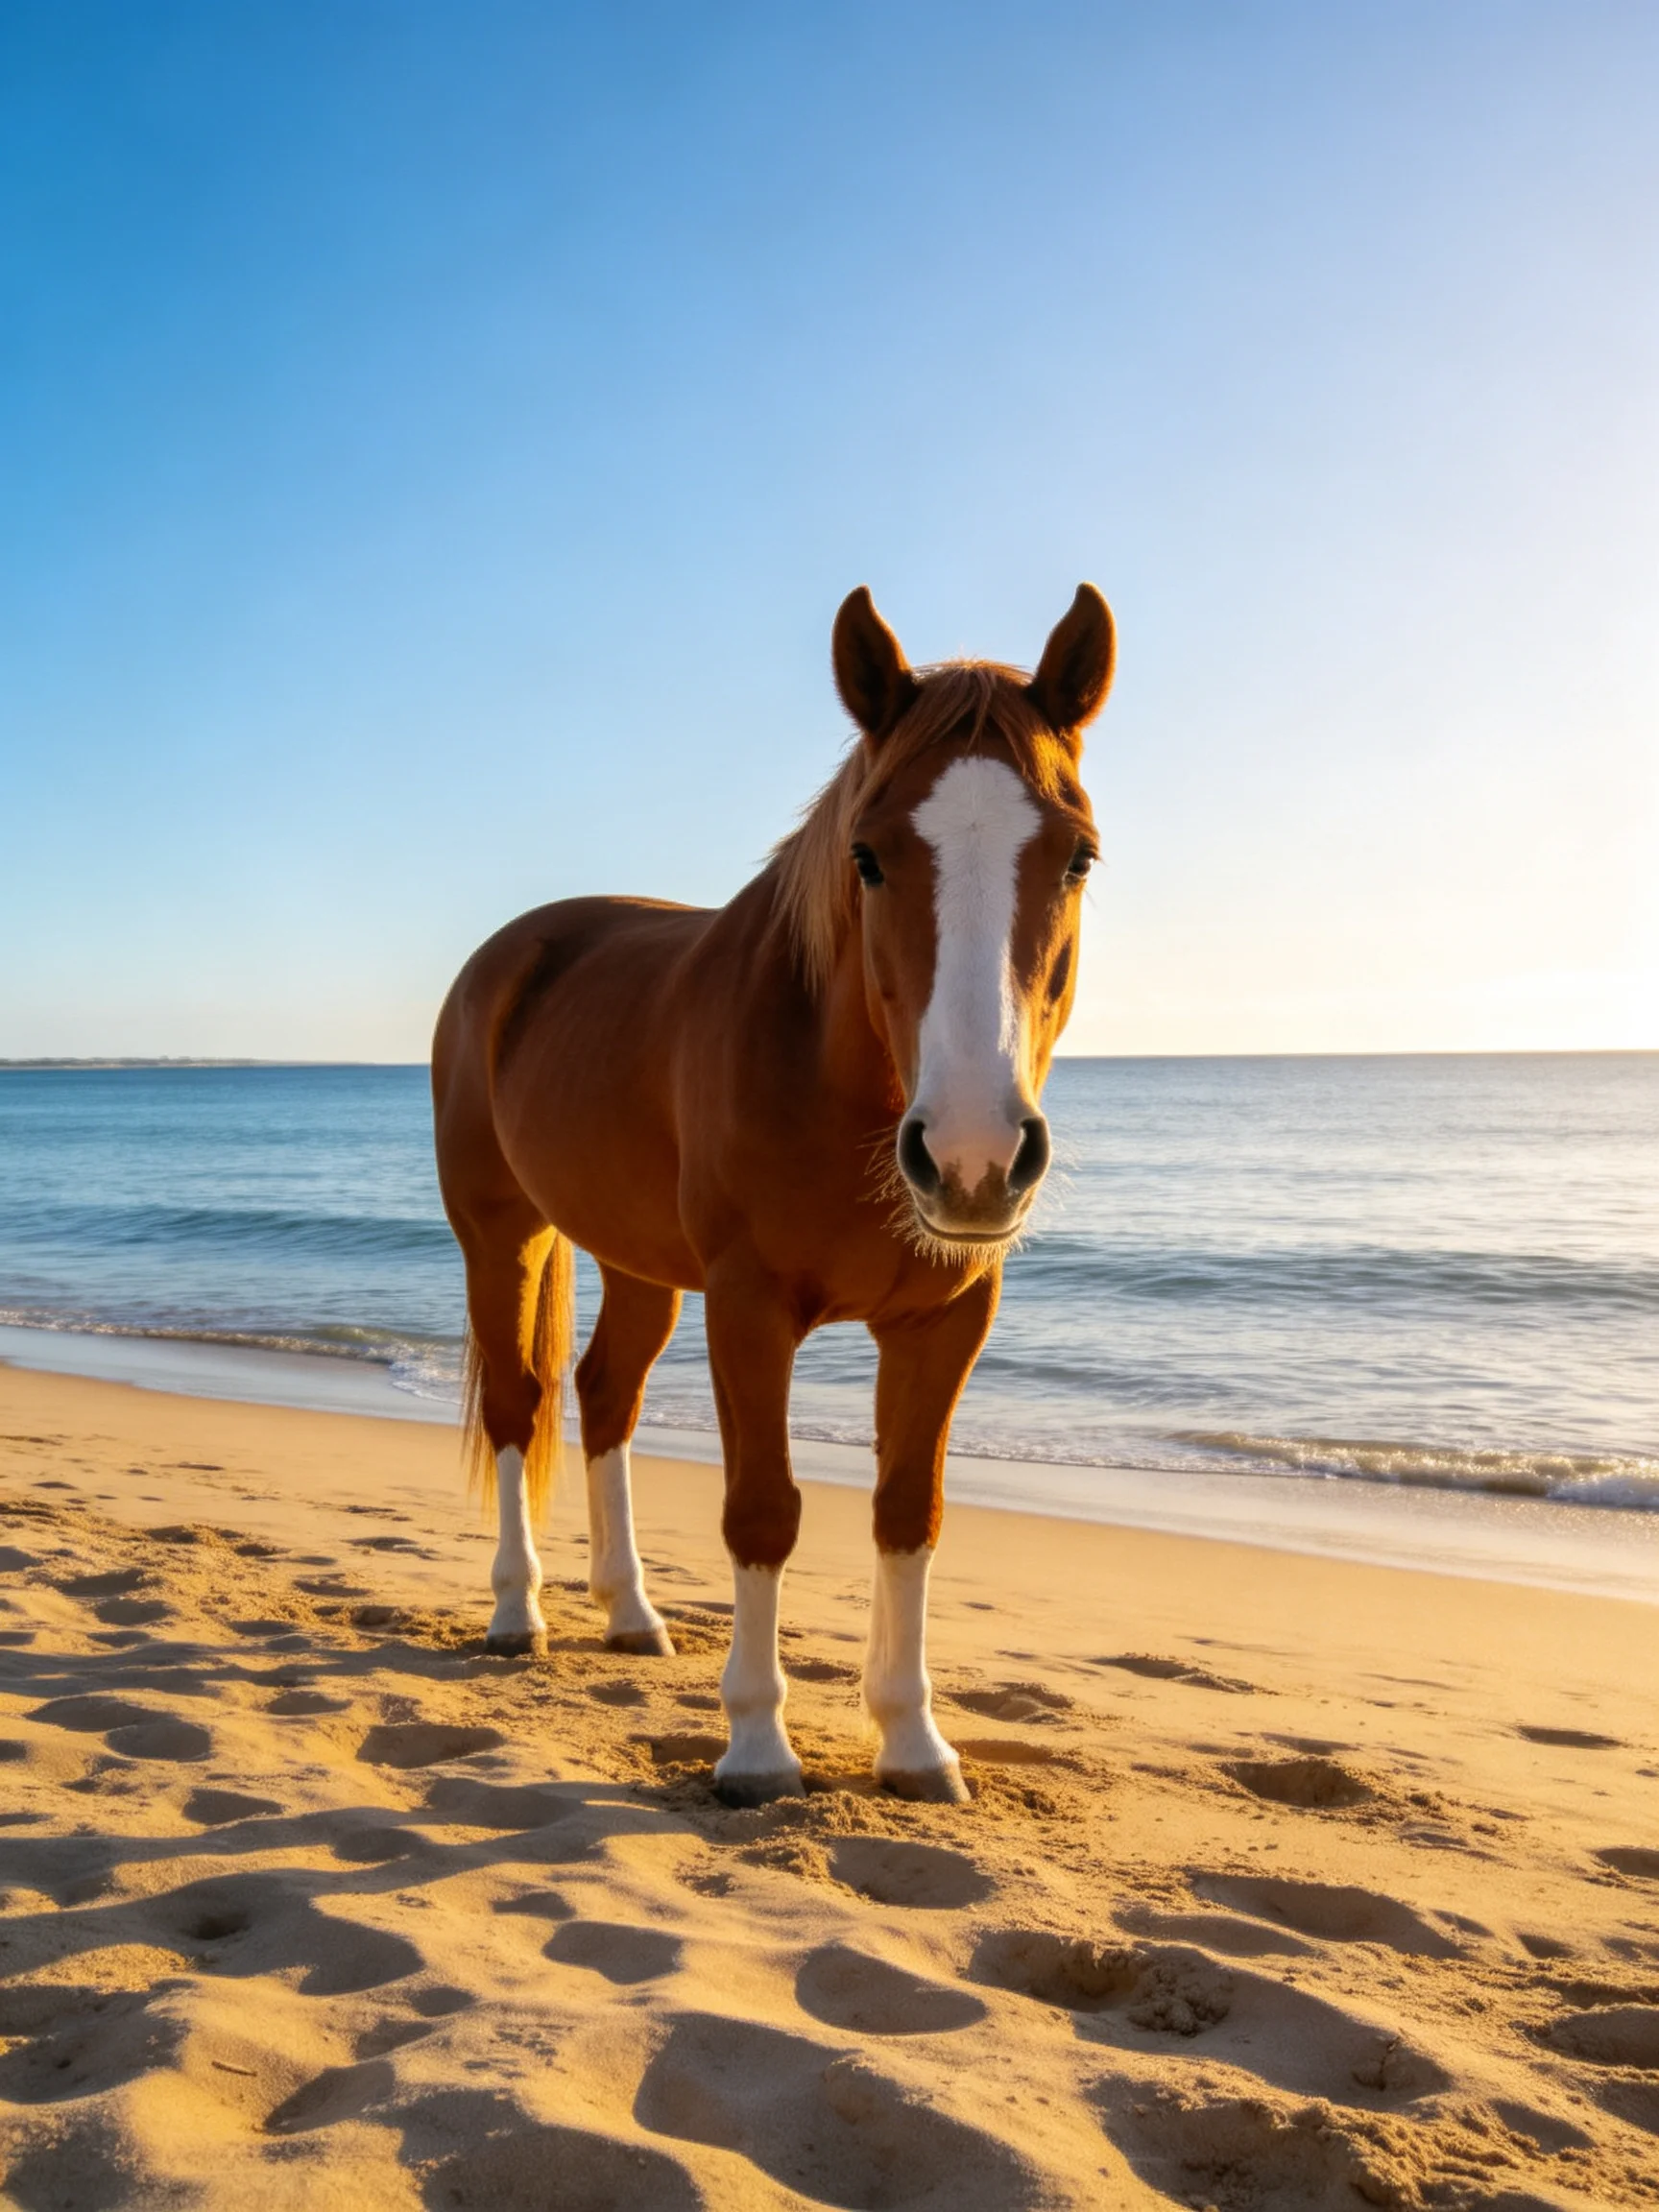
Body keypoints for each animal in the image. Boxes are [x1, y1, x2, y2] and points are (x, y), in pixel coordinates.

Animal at [431, 583, 1114, 1805]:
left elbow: (908, 1512)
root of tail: (507, 956)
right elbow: (764, 1510)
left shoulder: (946, 1320)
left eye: (1079, 857)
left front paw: (912, 1741)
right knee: (517, 1403)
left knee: (604, 1396)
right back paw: (520, 1615)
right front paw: (755, 1744)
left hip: (639, 1265)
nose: (974, 1154)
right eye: (869, 857)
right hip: (500, 1238)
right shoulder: (749, 1309)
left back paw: (631, 1613)